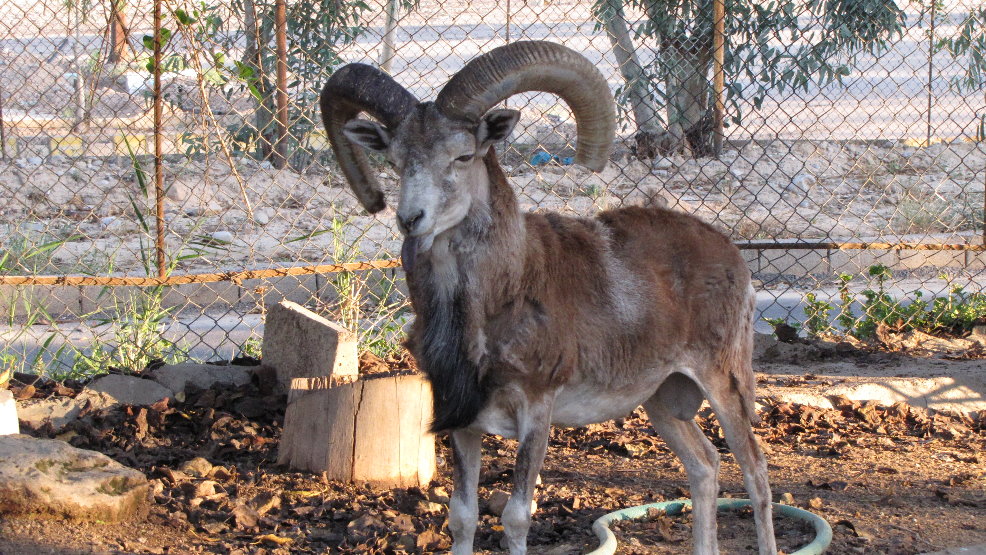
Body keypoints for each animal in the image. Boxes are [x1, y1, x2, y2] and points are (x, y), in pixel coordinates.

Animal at [320, 40, 776, 555]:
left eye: (463, 156)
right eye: (396, 161)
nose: (410, 219)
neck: (500, 299)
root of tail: (731, 255)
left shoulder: (537, 410)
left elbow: (517, 517)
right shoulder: (463, 419)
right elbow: (462, 515)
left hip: (724, 383)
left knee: (755, 471)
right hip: (661, 400)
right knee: (705, 466)